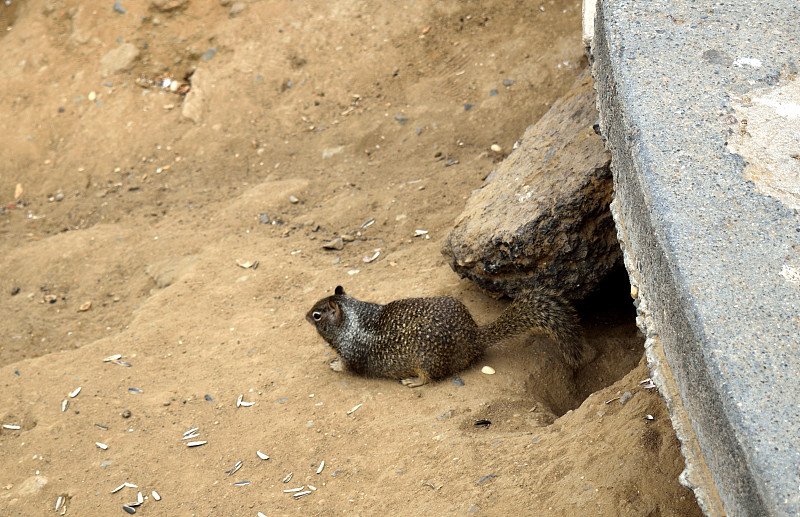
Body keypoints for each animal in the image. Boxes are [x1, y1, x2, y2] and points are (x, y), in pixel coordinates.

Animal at [304, 286, 584, 388]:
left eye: (317, 315)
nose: (305, 315)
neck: (352, 320)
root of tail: (473, 335)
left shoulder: (351, 354)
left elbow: (345, 366)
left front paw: (334, 364)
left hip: (427, 360)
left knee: (429, 378)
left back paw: (413, 381)